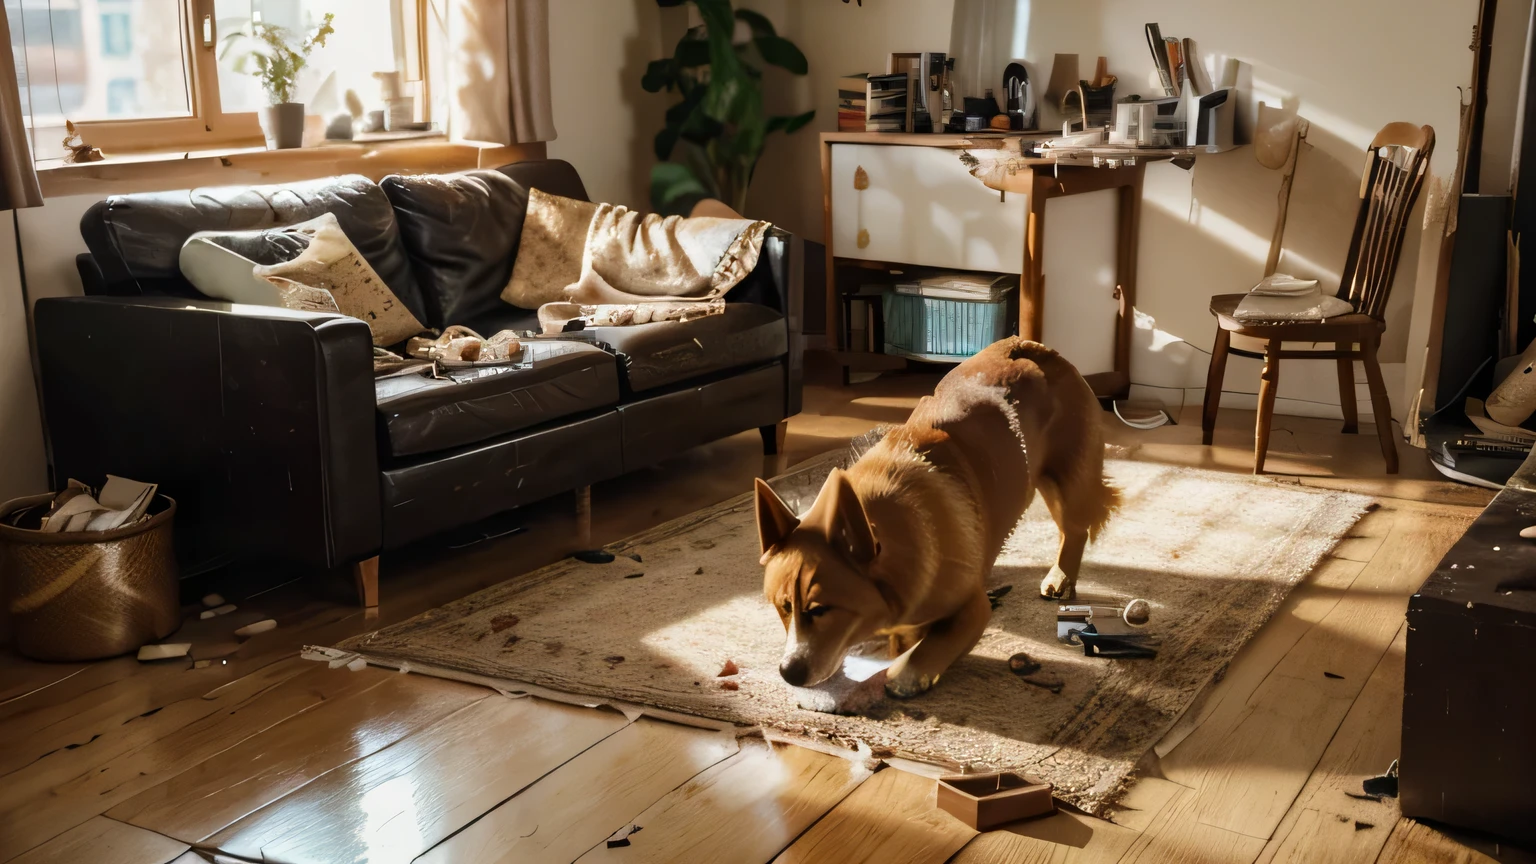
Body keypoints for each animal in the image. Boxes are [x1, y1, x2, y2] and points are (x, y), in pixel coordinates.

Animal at [755, 338, 1118, 701]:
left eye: (820, 610)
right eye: (783, 607)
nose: (788, 674)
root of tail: (1030, 345)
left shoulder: (973, 609)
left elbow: (931, 647)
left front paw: (907, 675)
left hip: (1065, 482)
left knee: (1074, 530)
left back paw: (1061, 577)